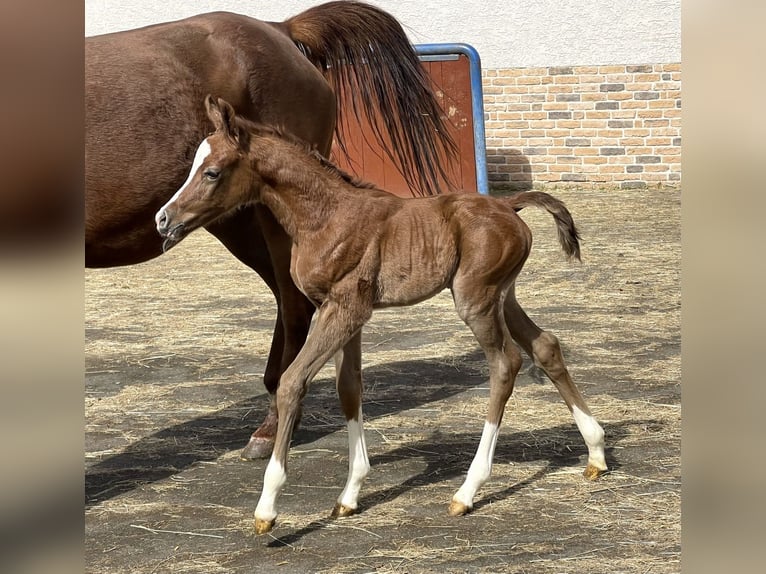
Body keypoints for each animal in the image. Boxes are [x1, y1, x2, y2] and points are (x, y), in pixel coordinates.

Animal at [85, 0, 456, 460]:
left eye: (210, 170)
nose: (162, 219)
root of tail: (281, 28)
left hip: (272, 222)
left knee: (294, 307)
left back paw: (272, 427)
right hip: (240, 223)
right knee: (288, 301)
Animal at [156, 97, 608, 536]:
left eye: (212, 172)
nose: (164, 218)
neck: (326, 216)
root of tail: (508, 204)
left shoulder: (344, 308)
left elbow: (292, 382)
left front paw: (267, 508)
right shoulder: (347, 313)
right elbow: (349, 388)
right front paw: (350, 494)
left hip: (475, 298)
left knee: (505, 363)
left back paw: (468, 490)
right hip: (503, 294)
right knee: (545, 346)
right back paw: (596, 452)